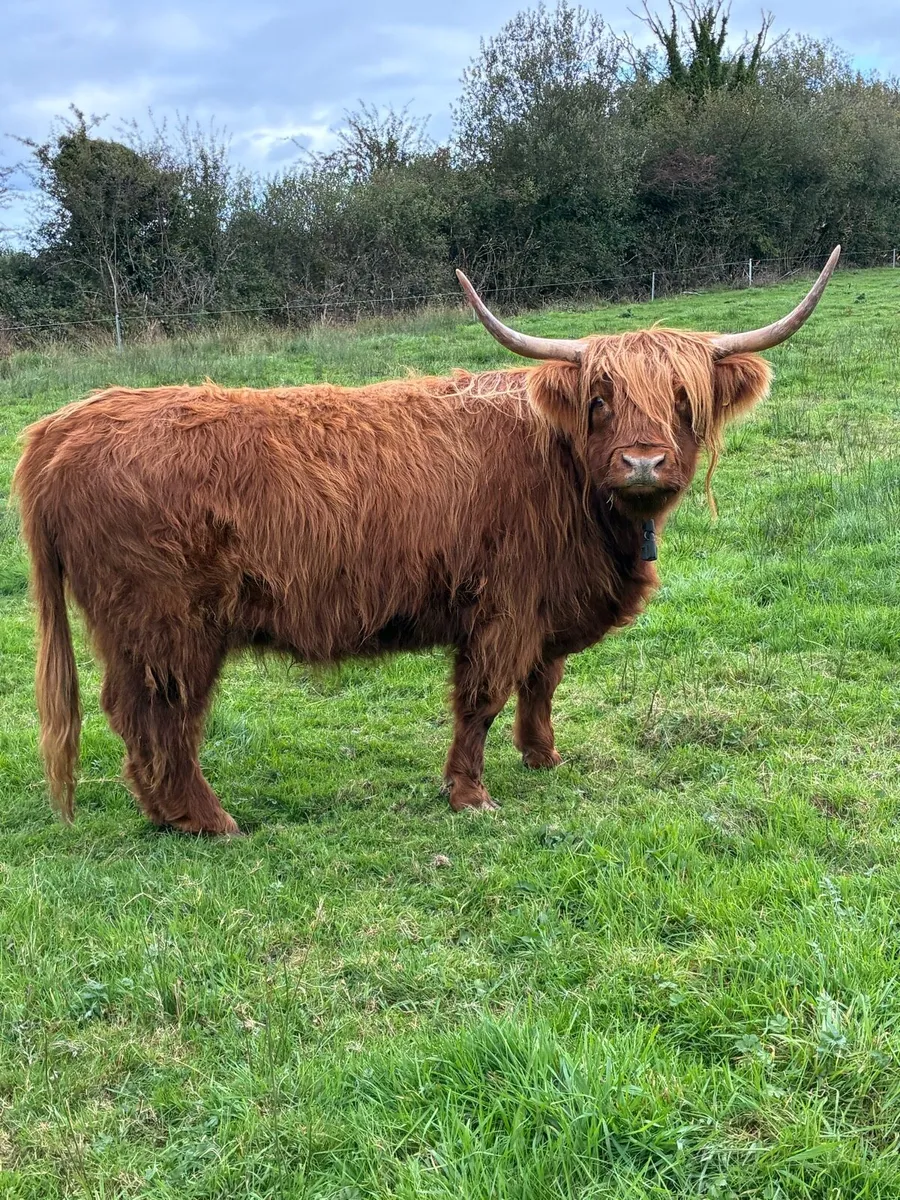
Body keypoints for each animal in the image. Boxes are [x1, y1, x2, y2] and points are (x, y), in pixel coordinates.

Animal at [13, 248, 840, 835]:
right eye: (600, 399)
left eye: (683, 400)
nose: (643, 461)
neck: (568, 478)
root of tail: (65, 422)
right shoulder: (503, 605)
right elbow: (481, 697)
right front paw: (470, 794)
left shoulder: (548, 606)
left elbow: (542, 683)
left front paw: (542, 757)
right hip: (165, 625)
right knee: (156, 715)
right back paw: (206, 820)